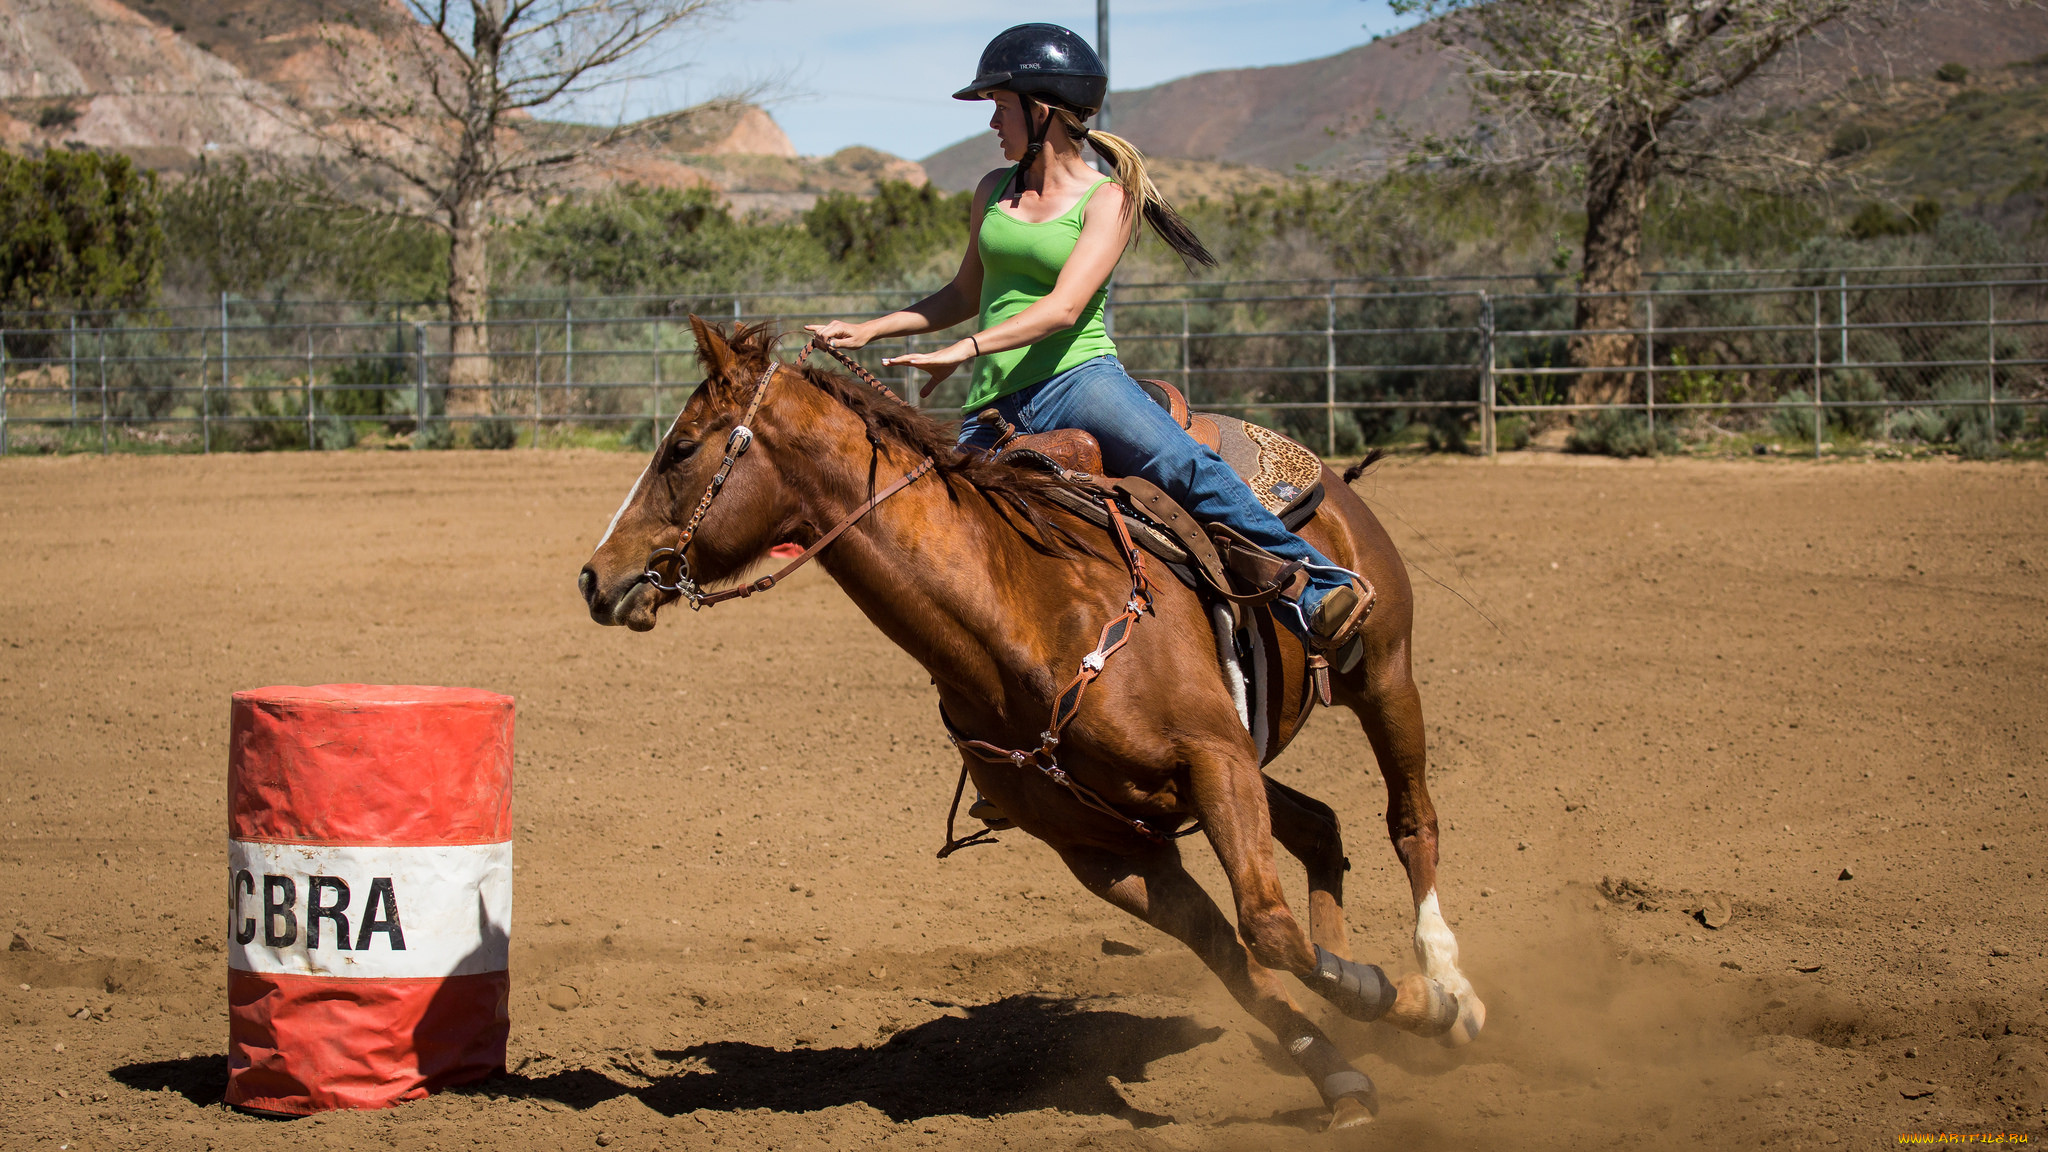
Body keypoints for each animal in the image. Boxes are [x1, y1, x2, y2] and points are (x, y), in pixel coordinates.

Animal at [577, 317, 1490, 1123]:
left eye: (681, 447)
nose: (594, 576)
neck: (1025, 614)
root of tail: (1323, 477)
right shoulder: (1109, 850)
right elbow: (1242, 962)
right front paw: (1341, 1076)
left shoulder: (1215, 762)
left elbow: (1267, 930)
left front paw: (1419, 1008)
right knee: (1322, 827)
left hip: (1385, 673)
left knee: (1411, 820)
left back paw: (1452, 986)